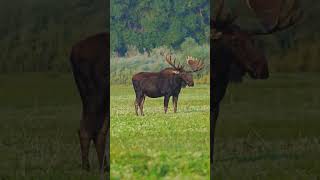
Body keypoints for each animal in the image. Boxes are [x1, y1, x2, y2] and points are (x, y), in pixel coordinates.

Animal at [70, 32, 110, 173]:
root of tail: (73, 52)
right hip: (98, 94)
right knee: (87, 129)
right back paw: (87, 167)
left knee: (98, 131)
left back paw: (103, 167)